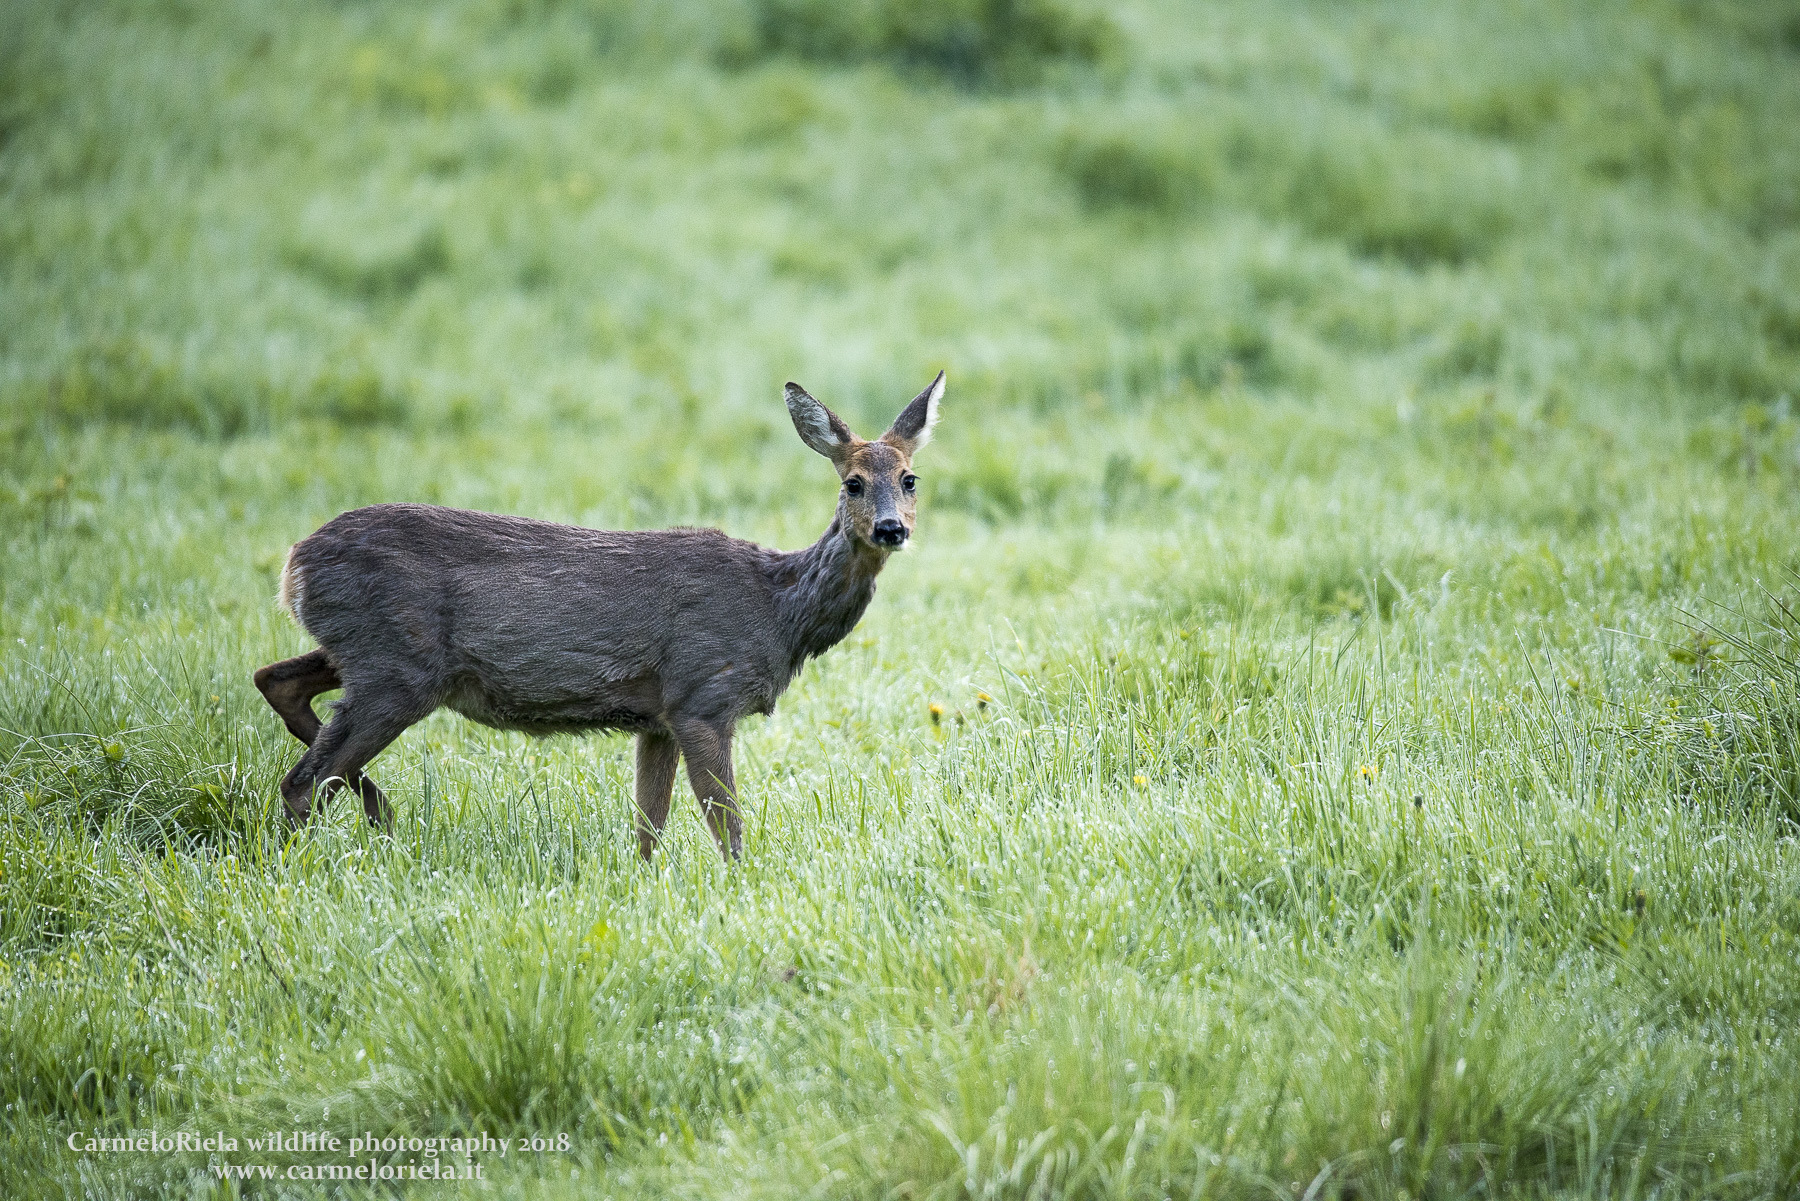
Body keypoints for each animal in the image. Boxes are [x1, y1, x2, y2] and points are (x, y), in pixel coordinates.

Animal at [252, 372, 944, 860]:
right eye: (853, 482)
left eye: (910, 479)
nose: (891, 529)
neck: (778, 610)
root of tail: (294, 565)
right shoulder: (703, 693)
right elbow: (727, 826)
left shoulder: (657, 717)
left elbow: (648, 829)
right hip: (397, 666)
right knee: (303, 779)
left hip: (372, 656)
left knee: (278, 683)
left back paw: (378, 809)